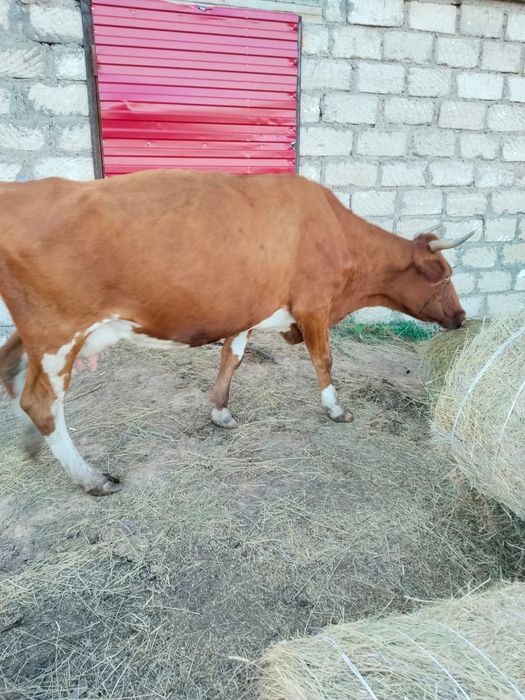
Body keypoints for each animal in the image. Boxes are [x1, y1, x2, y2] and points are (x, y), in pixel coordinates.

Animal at [0, 170, 473, 496]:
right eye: (446, 274)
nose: (462, 316)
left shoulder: (247, 308)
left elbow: (233, 356)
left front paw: (221, 411)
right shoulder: (313, 305)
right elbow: (324, 360)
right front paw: (336, 410)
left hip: (40, 335)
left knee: (15, 373)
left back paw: (33, 444)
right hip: (58, 333)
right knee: (41, 401)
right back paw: (91, 477)